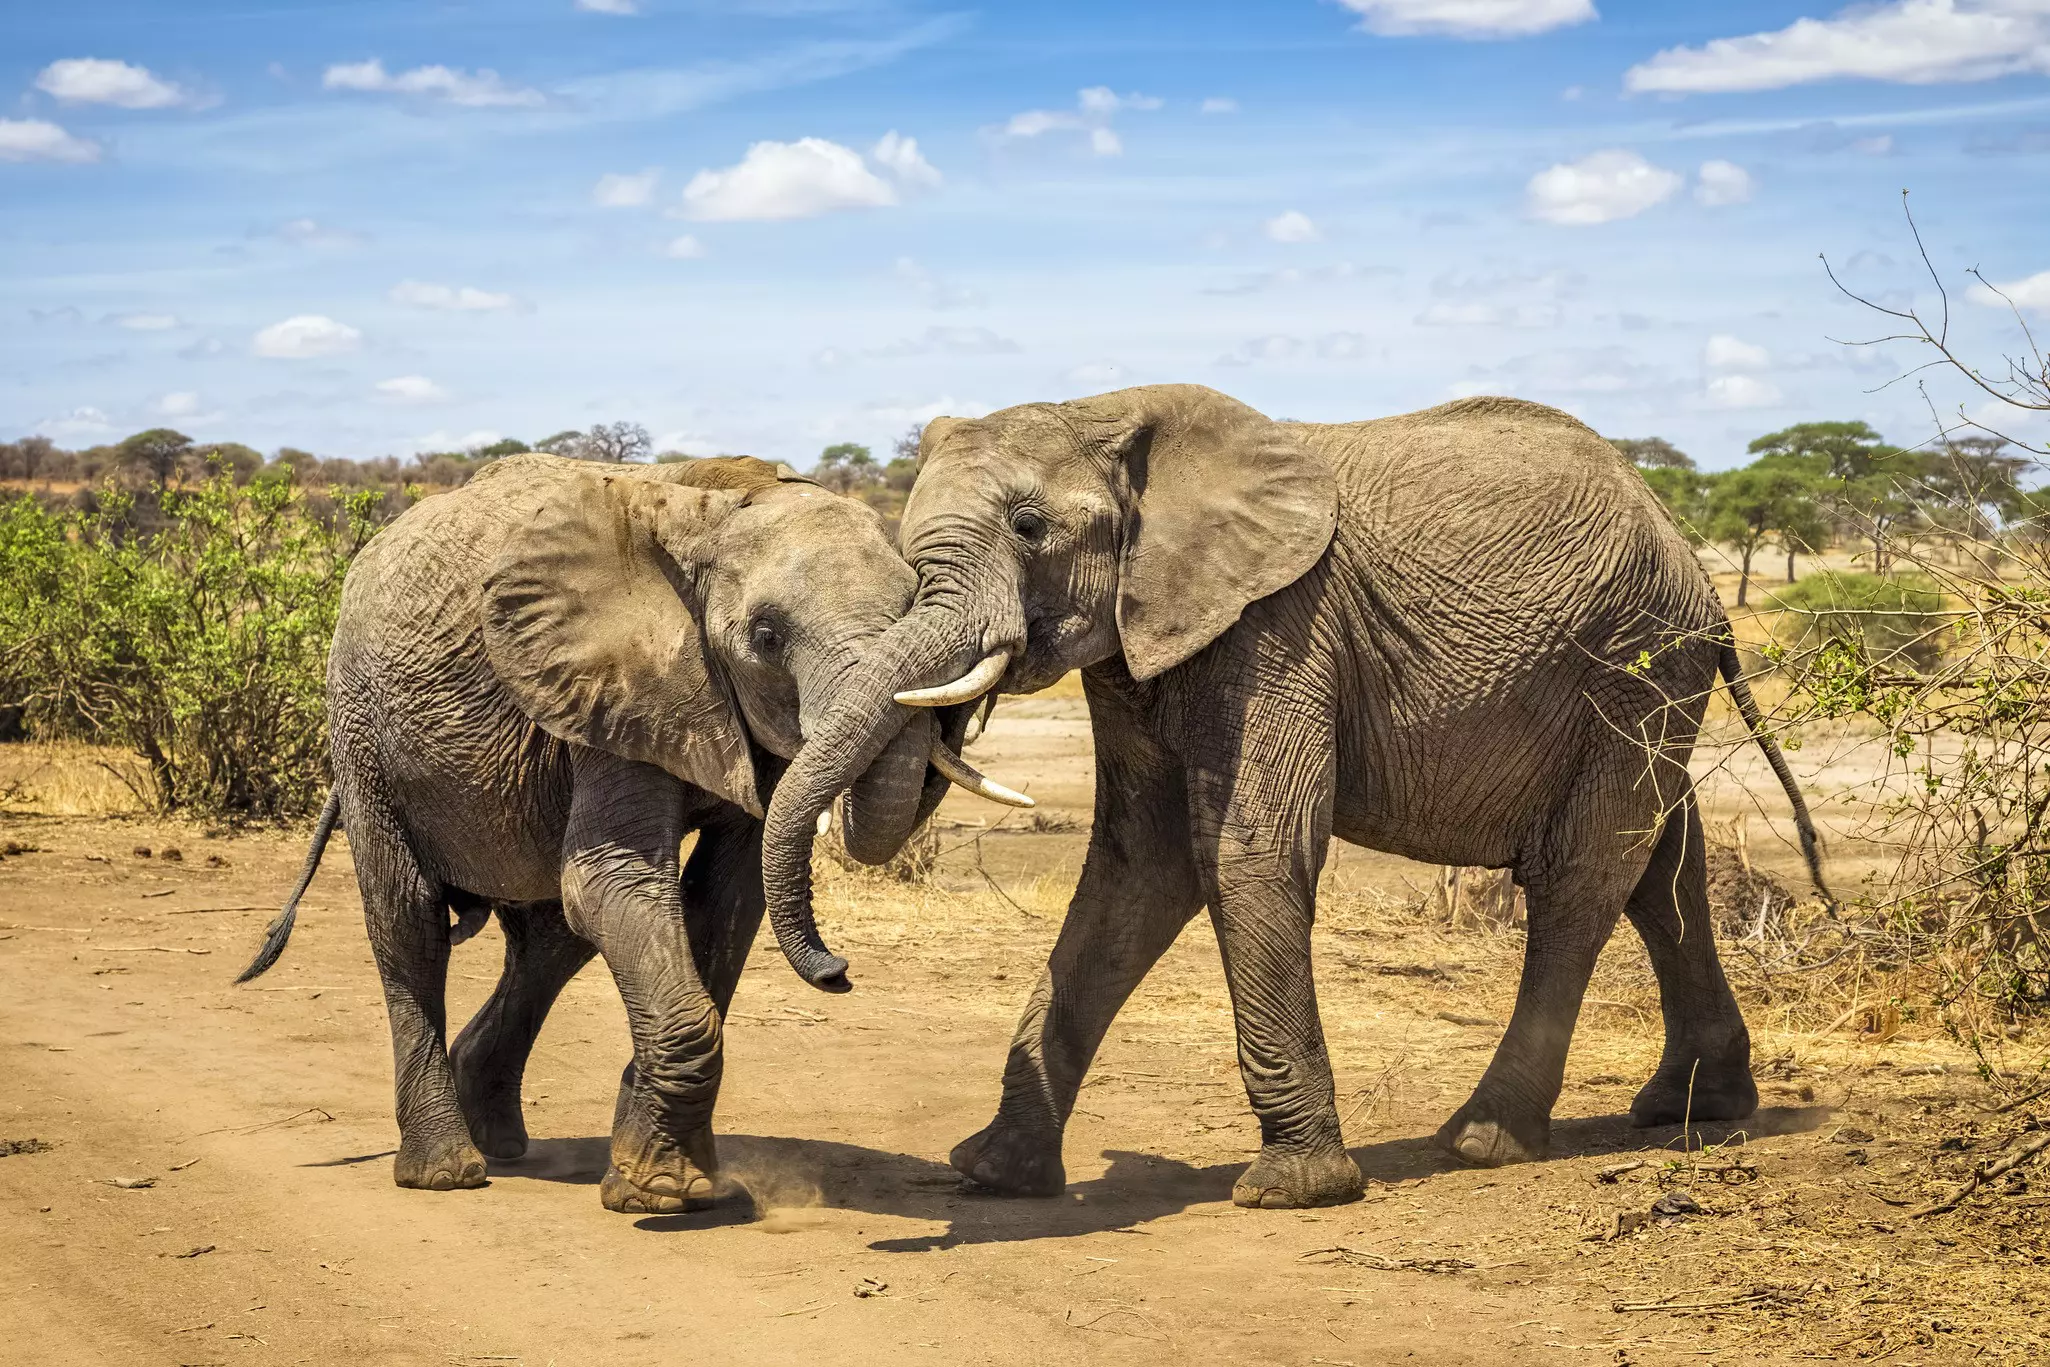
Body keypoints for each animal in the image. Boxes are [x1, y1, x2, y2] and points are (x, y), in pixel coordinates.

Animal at [236, 453, 1024, 1213]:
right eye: (767, 636)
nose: (840, 972)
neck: (719, 506)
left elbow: (725, 901)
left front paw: (670, 1180)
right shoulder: (614, 684)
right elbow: (615, 882)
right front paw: (665, 1195)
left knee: (551, 939)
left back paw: (501, 1141)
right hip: (362, 733)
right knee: (410, 922)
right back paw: (447, 1172)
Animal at [761, 384, 1827, 1210]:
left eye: (1030, 529)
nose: (839, 971)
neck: (1107, 413)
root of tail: (1687, 554)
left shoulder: (1280, 624)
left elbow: (1246, 847)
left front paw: (1296, 1189)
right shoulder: (1141, 643)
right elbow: (1136, 866)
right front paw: (995, 1173)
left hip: (1636, 660)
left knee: (1583, 876)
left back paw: (1482, 1140)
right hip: (1643, 681)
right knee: (1662, 866)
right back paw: (1696, 1106)